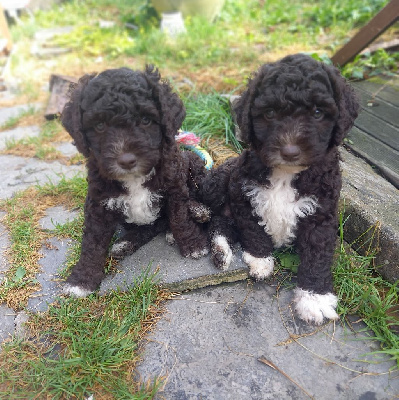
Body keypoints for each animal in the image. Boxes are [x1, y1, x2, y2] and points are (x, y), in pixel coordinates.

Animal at [61, 65, 211, 296]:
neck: (134, 179)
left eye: (146, 120)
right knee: (150, 227)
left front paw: (192, 244)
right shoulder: (98, 203)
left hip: (192, 162)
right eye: (100, 125)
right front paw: (82, 280)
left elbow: (180, 217)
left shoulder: (174, 186)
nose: (126, 160)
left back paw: (197, 211)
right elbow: (92, 242)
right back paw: (125, 244)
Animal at [202, 53, 360, 324]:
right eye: (269, 113)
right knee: (213, 216)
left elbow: (317, 255)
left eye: (318, 113)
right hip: (218, 183)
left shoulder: (321, 212)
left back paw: (221, 252)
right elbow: (253, 229)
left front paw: (314, 298)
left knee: (222, 223)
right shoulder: (242, 193)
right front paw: (260, 260)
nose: (290, 151)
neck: (286, 174)